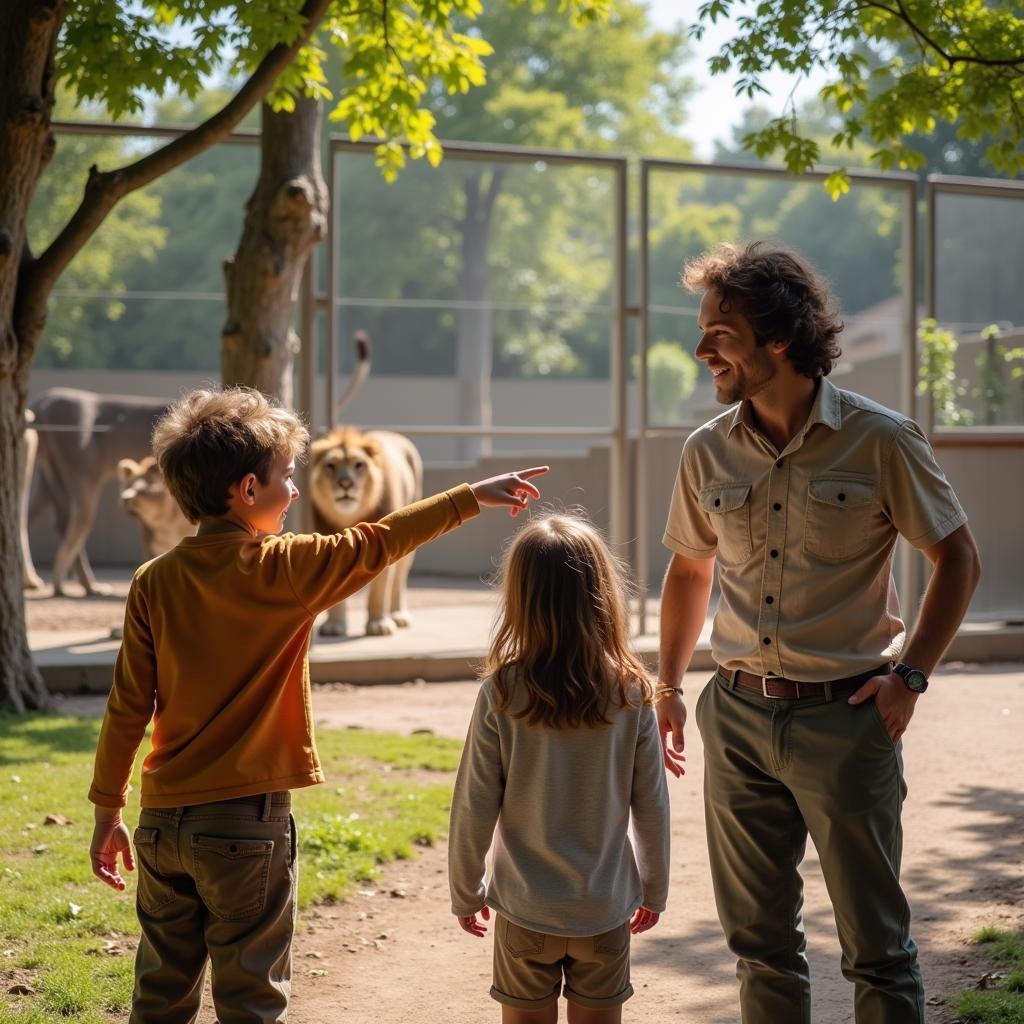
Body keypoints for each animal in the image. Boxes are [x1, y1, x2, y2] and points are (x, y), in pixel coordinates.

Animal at [311, 425, 423, 634]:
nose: (346, 484)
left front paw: (378, 624)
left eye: (359, 465)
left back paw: (399, 615)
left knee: (398, 580)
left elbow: (379, 591)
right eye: (331, 465)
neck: (349, 516)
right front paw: (334, 625)